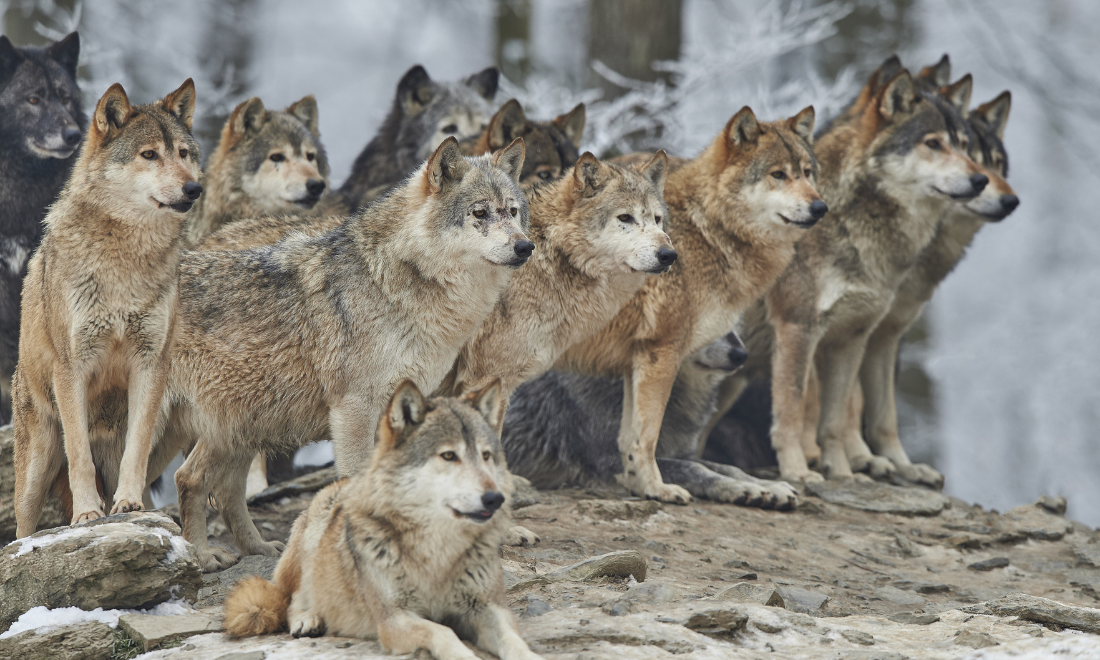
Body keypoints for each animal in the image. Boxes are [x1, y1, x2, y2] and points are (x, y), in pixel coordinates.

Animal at [12, 80, 201, 536]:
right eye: (149, 155)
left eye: (183, 154)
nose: (193, 189)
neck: (124, 261)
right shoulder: (72, 367)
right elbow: (79, 455)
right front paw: (86, 513)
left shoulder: (151, 363)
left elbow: (136, 448)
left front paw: (129, 504)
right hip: (34, 471)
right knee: (22, 528)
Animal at [160, 137, 530, 572]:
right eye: (480, 213)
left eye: (512, 211)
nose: (525, 246)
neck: (396, 280)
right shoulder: (354, 409)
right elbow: (356, 480)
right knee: (185, 479)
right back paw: (202, 556)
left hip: (242, 423)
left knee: (211, 484)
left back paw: (257, 549)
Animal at [224, 380, 543, 660]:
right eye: (449, 455)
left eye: (486, 456)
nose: (494, 498)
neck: (438, 553)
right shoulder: (393, 620)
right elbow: (443, 633)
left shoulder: (487, 608)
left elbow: (512, 639)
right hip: (314, 534)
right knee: (291, 598)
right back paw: (308, 618)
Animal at [547, 106, 826, 503]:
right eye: (778, 175)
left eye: (806, 172)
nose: (821, 207)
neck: (709, 230)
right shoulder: (662, 351)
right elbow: (648, 437)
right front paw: (657, 488)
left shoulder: (638, 358)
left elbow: (633, 440)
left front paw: (639, 486)